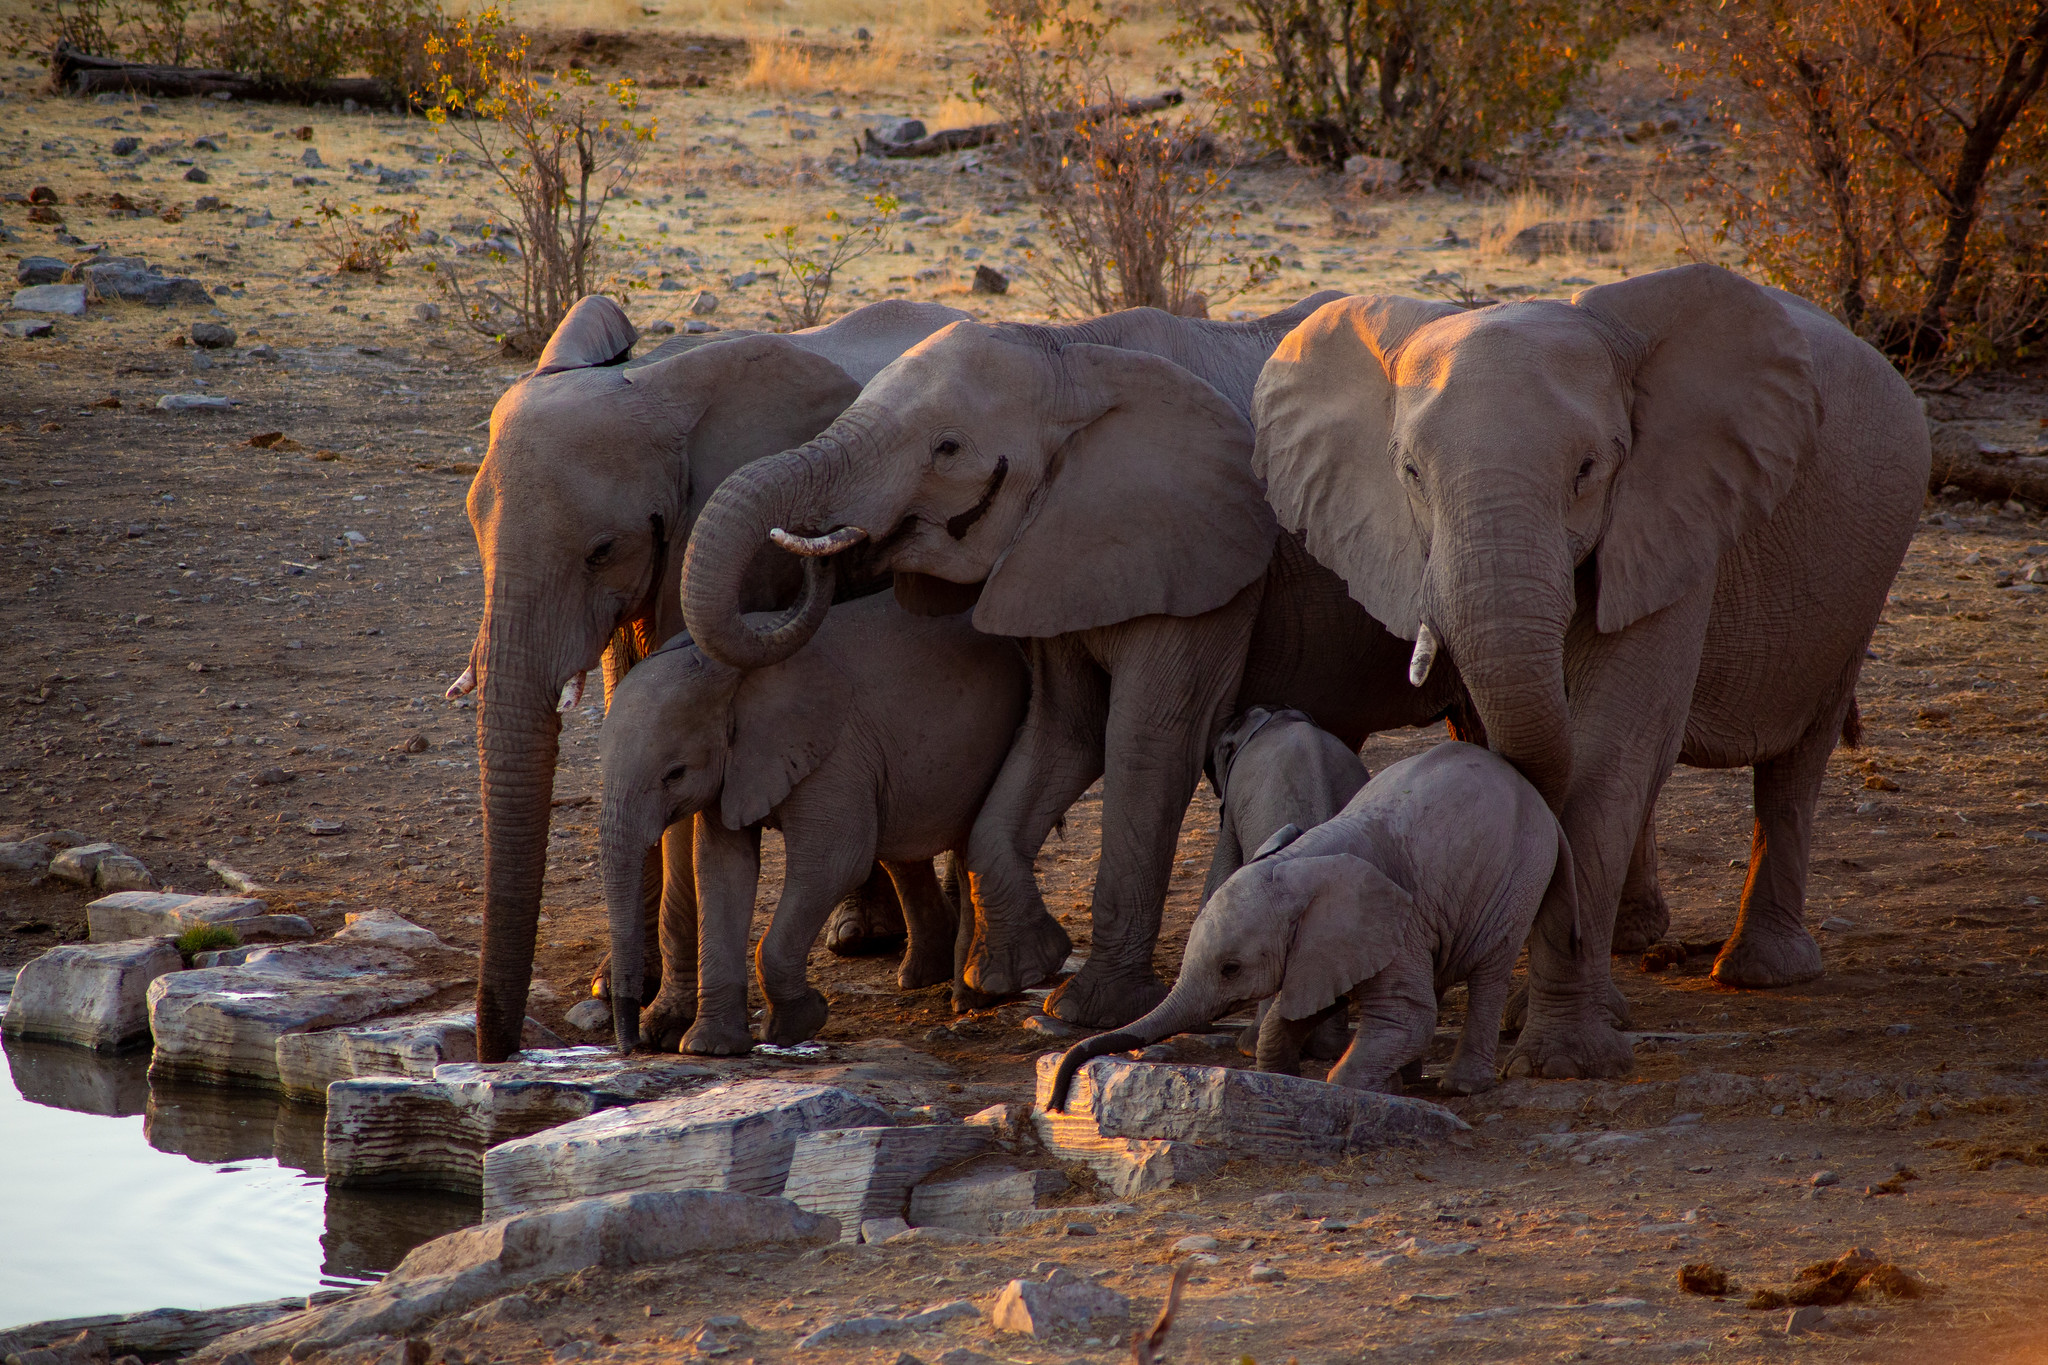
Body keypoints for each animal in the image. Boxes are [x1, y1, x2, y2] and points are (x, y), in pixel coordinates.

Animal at [456, 293, 967, 1061]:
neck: (656, 385)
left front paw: (665, 1025)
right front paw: (617, 992)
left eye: (601, 550)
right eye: (473, 530)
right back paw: (860, 937)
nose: (499, 1053)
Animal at [596, 588, 1029, 1053]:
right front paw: (711, 1048)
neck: (732, 674)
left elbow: (832, 865)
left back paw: (972, 998)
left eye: (674, 774)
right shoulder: (733, 772)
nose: (630, 1047)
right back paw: (935, 981)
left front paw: (797, 1025)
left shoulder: (836, 752)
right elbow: (721, 868)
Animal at [679, 296, 1474, 1030]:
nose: (821, 550)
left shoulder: (1204, 555)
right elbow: (1064, 730)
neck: (1068, 353)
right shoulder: (1055, 546)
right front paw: (1014, 974)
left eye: (947, 448)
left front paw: (1086, 1009)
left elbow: (1146, 740)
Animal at [1048, 741, 1570, 1108]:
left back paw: (1460, 1088)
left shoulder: (1392, 923)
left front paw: (1354, 1089)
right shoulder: (1332, 943)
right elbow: (1304, 1006)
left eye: (1230, 969)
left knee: (1488, 970)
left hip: (1520, 876)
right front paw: (1285, 1079)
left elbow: (1406, 1017)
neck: (1299, 861)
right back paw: (1409, 1078)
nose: (1056, 1102)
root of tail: (1537, 796)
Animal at [1252, 263, 1930, 1079]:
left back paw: (1759, 972)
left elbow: (1610, 754)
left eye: (1587, 469)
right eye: (1409, 473)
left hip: (1865, 577)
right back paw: (1634, 942)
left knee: (1796, 760)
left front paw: (1566, 1057)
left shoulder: (1675, 511)